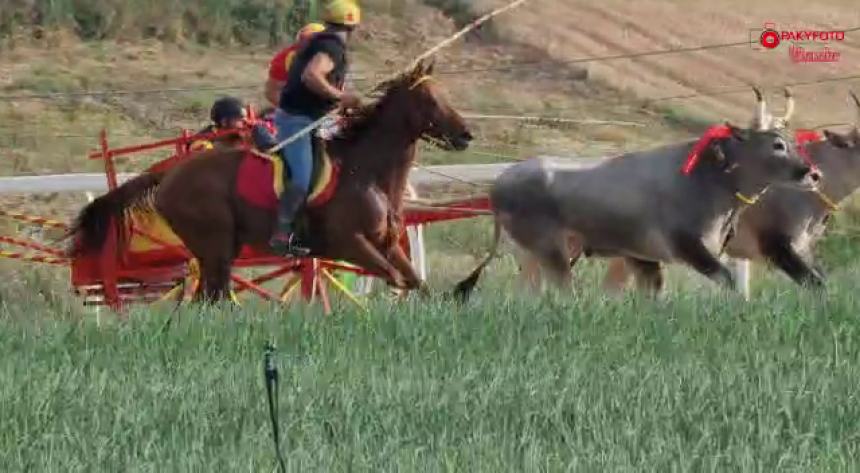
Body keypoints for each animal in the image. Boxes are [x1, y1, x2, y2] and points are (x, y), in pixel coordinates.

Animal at [68, 60, 474, 300]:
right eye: (429, 99)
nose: (465, 134)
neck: (365, 172)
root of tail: (167, 174)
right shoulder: (349, 244)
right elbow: (395, 278)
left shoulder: (384, 243)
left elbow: (414, 281)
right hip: (215, 246)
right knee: (212, 297)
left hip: (218, 250)